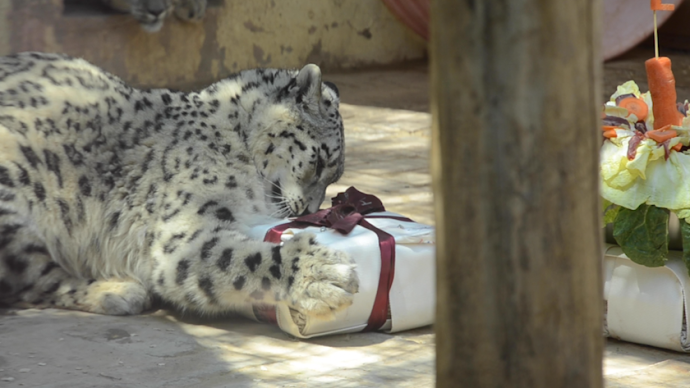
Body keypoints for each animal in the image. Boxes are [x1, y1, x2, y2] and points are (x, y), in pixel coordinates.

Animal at [0, 51, 354, 320]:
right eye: (319, 162)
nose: (309, 211)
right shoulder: (182, 228)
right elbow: (238, 259)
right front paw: (319, 272)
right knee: (33, 280)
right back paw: (118, 291)